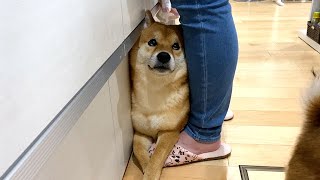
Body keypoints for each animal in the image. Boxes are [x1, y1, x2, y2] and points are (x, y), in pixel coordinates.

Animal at [129, 11, 189, 180]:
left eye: (175, 46)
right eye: (152, 42)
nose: (163, 56)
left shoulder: (169, 132)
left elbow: (157, 156)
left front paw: (150, 174)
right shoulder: (141, 133)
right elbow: (140, 152)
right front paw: (146, 168)